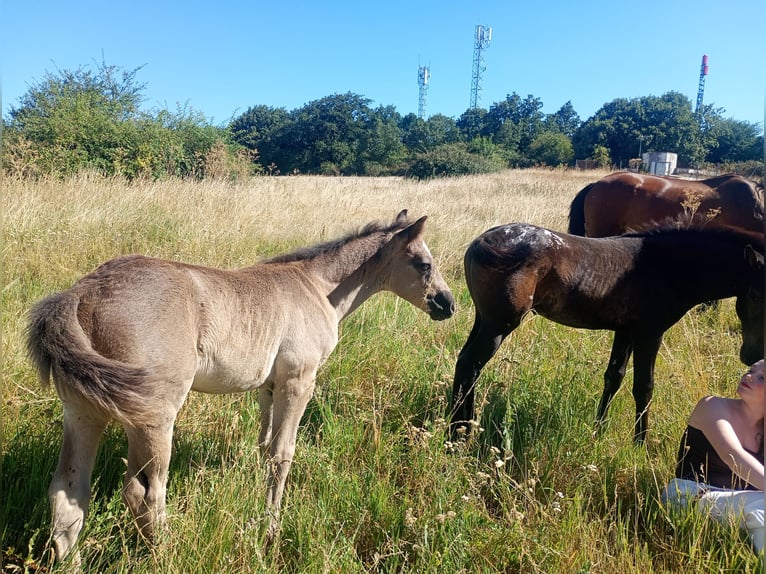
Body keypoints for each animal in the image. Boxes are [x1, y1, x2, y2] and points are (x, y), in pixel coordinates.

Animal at [27, 210, 456, 563]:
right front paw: (272, 528)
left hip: (83, 410)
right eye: (424, 263)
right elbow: (283, 454)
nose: (448, 304)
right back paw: (164, 555)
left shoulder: (269, 385)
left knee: (67, 492)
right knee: (145, 494)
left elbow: (264, 447)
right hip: (153, 415)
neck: (317, 286)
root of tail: (82, 293)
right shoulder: (299, 381)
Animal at [449, 223, 764, 444]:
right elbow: (644, 387)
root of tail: (481, 242)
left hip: (483, 320)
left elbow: (614, 378)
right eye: (757, 294)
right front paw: (639, 444)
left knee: (465, 362)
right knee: (470, 365)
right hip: (499, 325)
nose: (752, 356)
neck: (667, 266)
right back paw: (458, 433)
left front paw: (598, 432)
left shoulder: (625, 331)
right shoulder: (649, 333)